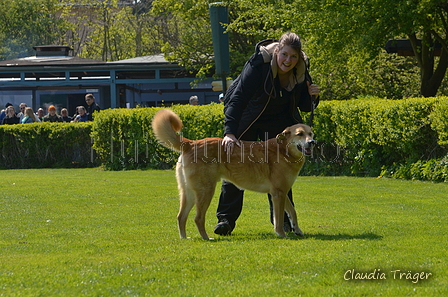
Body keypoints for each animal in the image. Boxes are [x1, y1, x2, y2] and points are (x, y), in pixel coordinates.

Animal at [153, 108, 316, 238]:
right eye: (300, 134)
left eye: (311, 133)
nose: (312, 142)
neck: (283, 150)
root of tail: (191, 143)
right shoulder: (278, 194)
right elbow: (279, 218)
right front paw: (282, 234)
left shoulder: (282, 192)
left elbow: (292, 212)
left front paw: (298, 230)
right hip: (205, 191)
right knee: (198, 218)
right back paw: (207, 238)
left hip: (189, 193)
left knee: (181, 217)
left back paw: (184, 238)